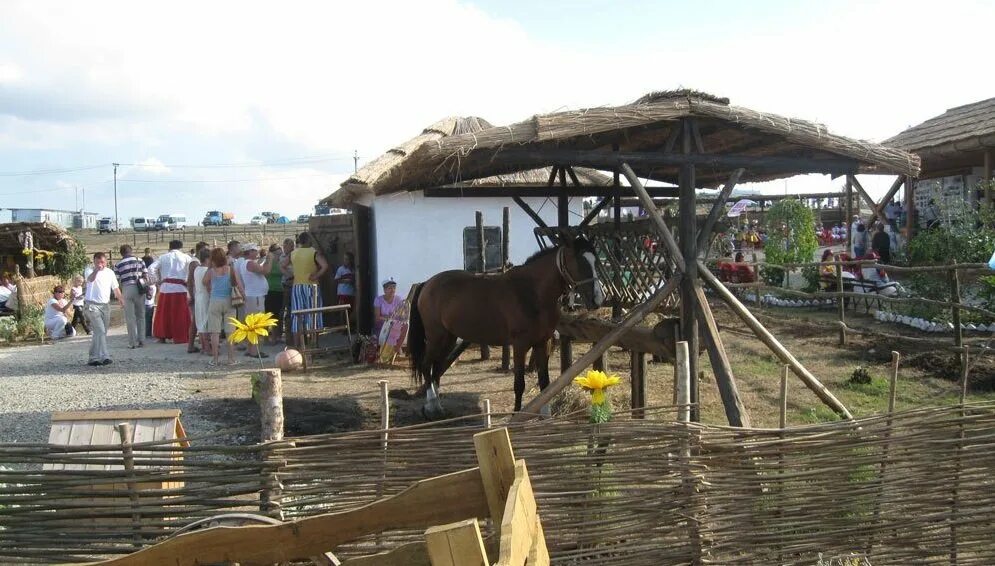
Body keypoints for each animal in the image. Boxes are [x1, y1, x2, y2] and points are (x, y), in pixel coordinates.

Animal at [408, 237, 604, 420]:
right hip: (436, 337)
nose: (598, 299)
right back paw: (433, 408)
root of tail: (427, 283)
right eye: (579, 262)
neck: (531, 292)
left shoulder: (543, 342)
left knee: (436, 368)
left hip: (448, 338)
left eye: (596, 261)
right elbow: (519, 384)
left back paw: (434, 407)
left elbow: (545, 382)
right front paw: (516, 415)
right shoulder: (520, 345)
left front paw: (545, 417)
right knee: (427, 366)